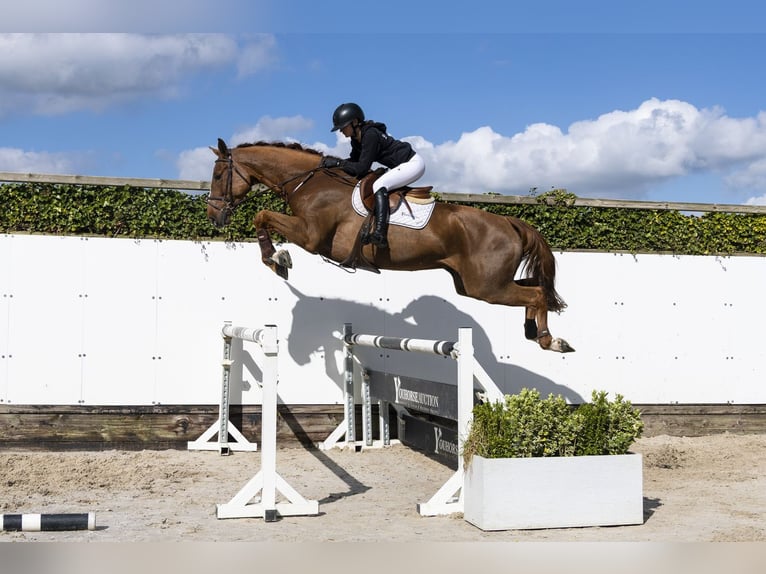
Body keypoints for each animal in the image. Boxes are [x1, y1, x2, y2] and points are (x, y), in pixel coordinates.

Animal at [206, 138, 574, 353]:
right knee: (538, 286)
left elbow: (262, 215)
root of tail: (510, 221)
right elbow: (263, 216)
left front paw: (277, 258)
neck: (308, 183)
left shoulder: (311, 236)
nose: (213, 215)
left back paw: (549, 340)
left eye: (217, 175)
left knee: (536, 293)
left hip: (487, 286)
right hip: (475, 283)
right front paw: (277, 258)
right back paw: (534, 331)